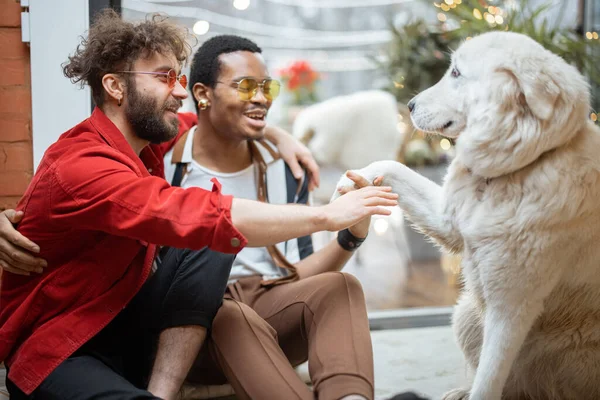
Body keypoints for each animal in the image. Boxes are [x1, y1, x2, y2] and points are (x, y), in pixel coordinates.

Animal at [332, 32, 600, 400]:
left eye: (456, 73)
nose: (409, 105)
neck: (512, 172)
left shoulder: (510, 310)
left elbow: (488, 384)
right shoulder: (446, 221)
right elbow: (393, 167)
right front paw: (352, 184)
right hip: (465, 316)